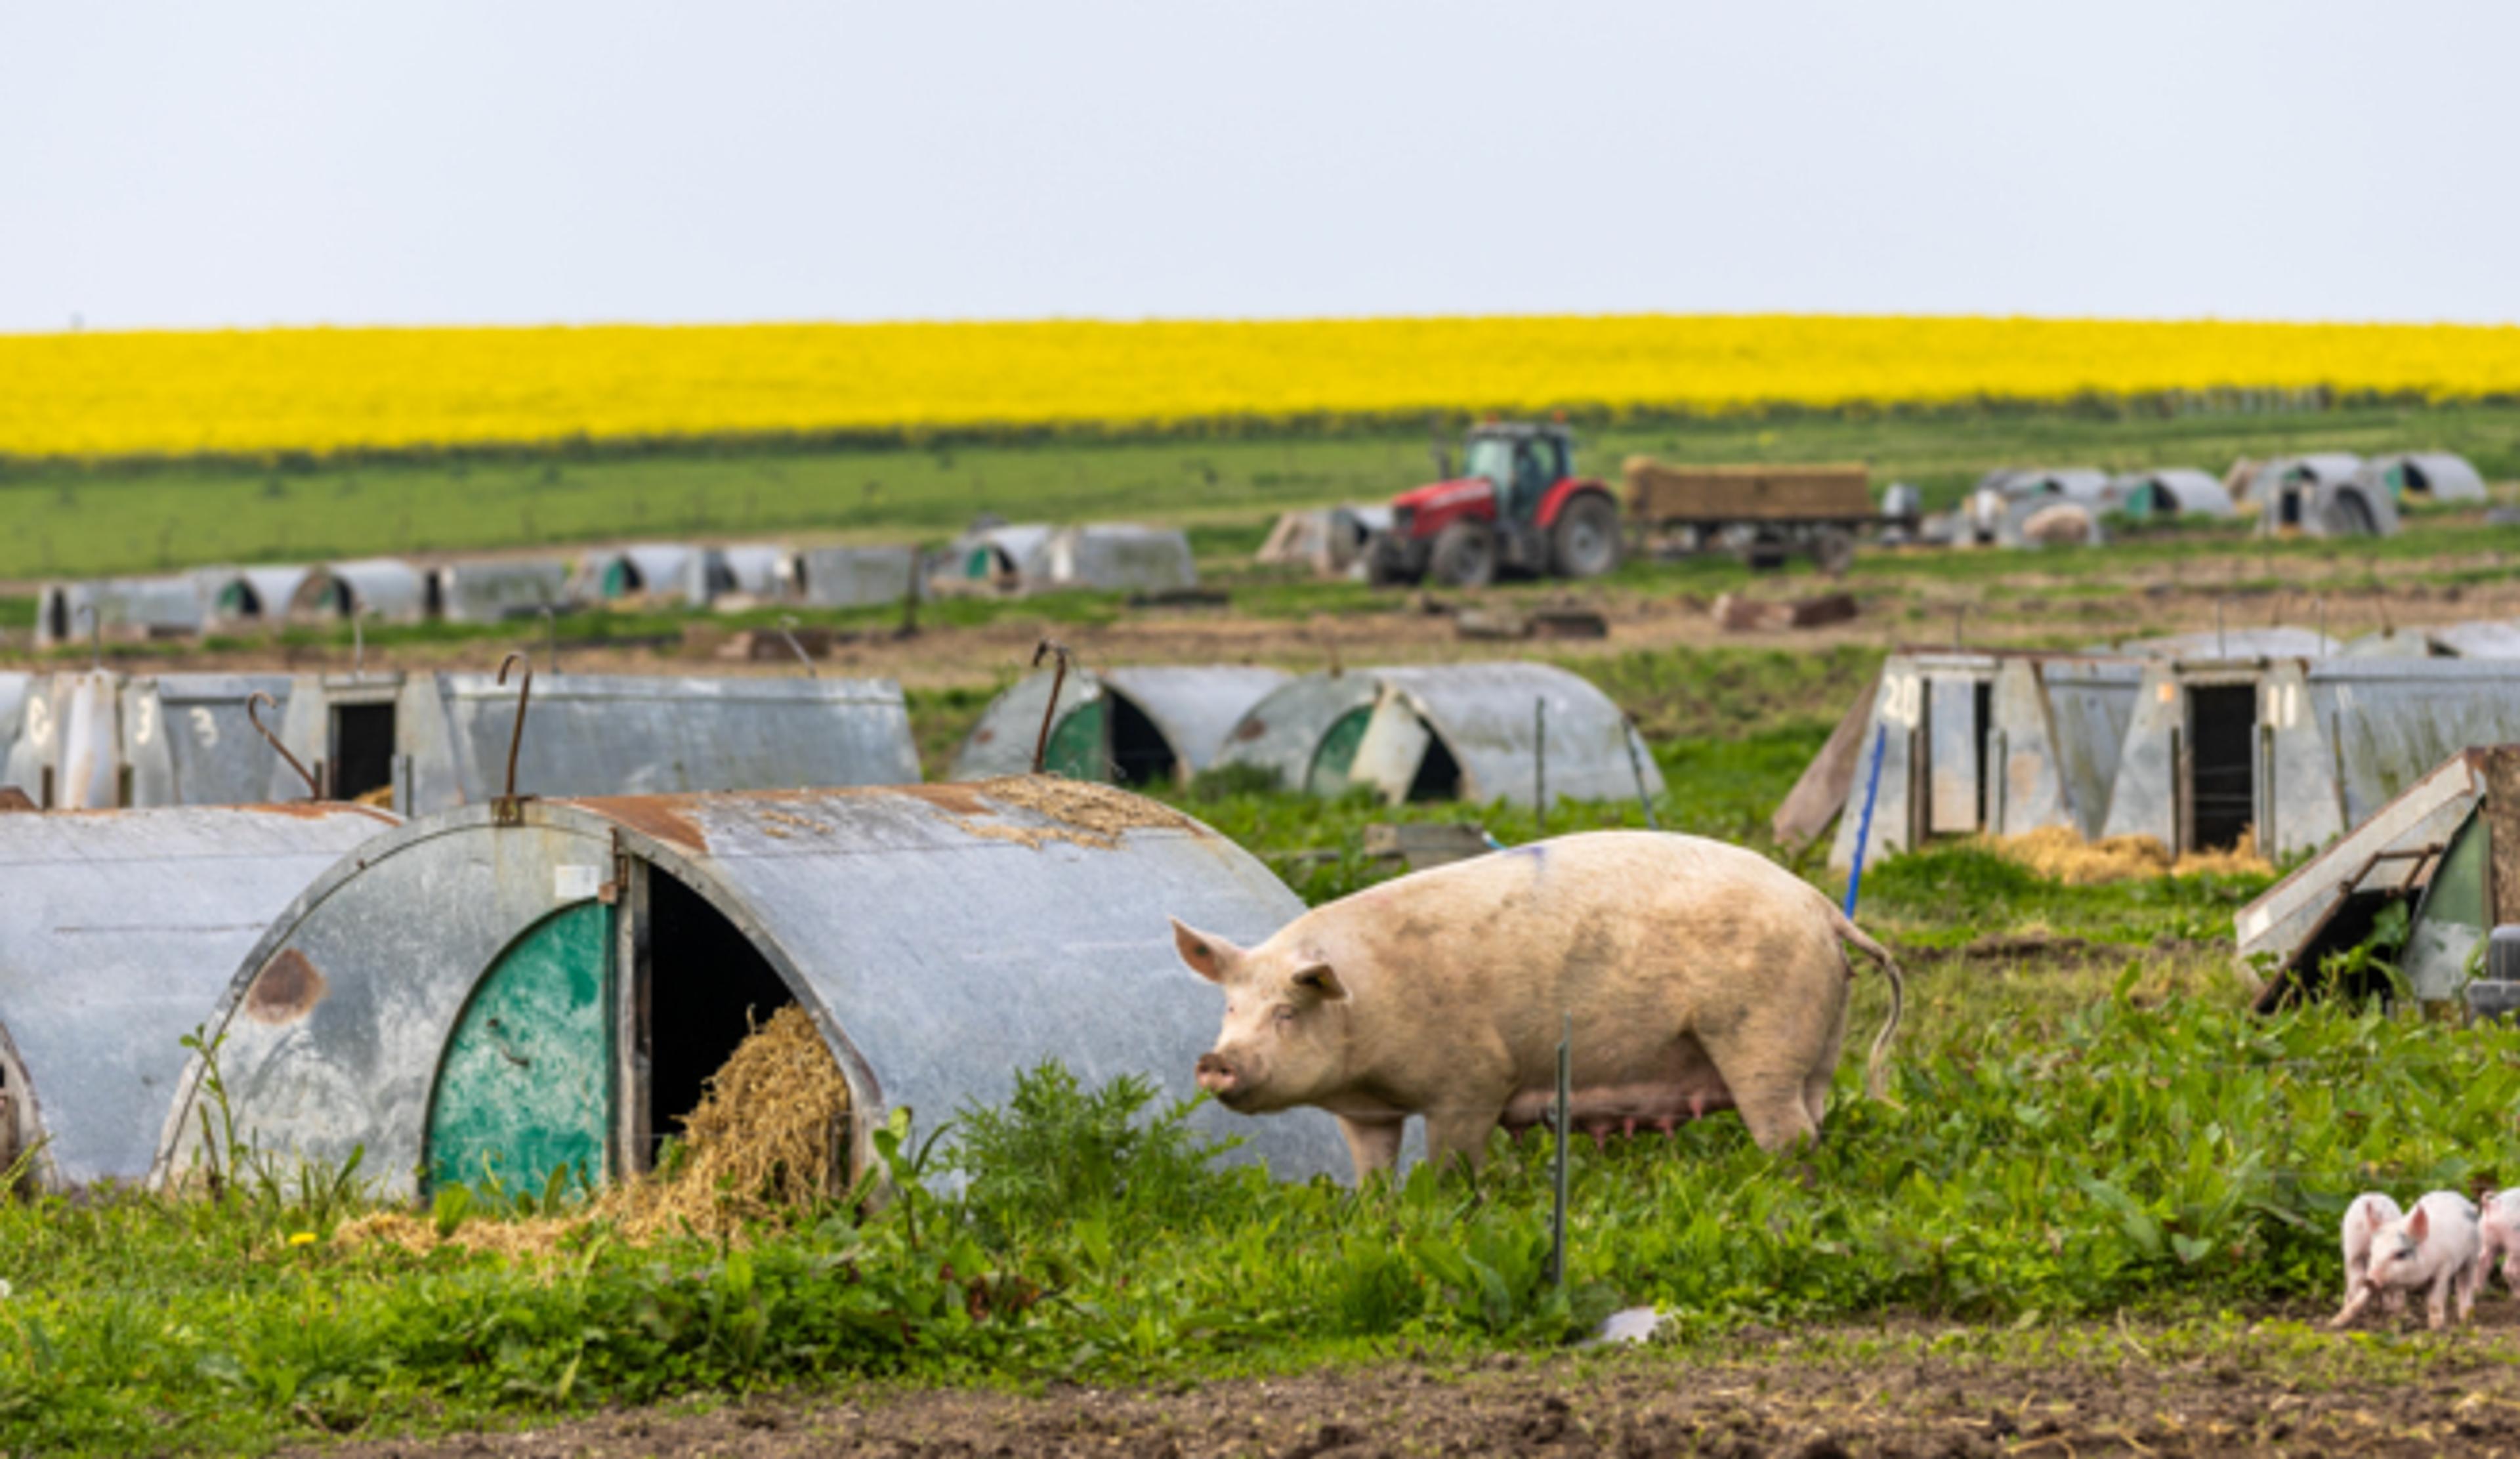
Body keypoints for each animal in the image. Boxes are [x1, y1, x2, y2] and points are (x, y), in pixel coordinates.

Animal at [1172, 830, 1906, 1181]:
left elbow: (1454, 1168)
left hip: (1760, 1041)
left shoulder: (1472, 1083)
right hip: (1819, 1046)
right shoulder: (1367, 1114)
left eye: (1287, 1012)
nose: (1214, 1060)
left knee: (1786, 1134)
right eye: (1230, 1008)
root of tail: (1823, 908)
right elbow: (1374, 1176)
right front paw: (1379, 1222)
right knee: (1815, 1126)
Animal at [2331, 1190, 2480, 1331]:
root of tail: (2457, 1196)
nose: (2370, 1280)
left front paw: (2436, 1328)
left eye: (2401, 1254)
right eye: (2373, 1252)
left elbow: (2435, 1299)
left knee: (2465, 1283)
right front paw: (2335, 1323)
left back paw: (2466, 1319)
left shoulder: (2444, 1268)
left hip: (2472, 1257)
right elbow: (2360, 1298)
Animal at [2475, 1189, 2520, 1297]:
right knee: (2509, 1269)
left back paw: (2480, 1291)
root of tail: (2490, 1205)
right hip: (2514, 1241)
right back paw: (2518, 1295)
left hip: (2486, 1237)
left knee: (2482, 1260)